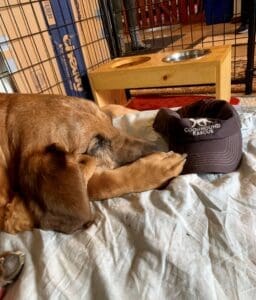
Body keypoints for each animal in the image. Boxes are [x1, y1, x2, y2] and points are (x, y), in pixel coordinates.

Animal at [0, 92, 185, 233]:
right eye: (96, 145)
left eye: (111, 124)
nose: (161, 145)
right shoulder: (10, 217)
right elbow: (103, 182)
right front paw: (157, 168)